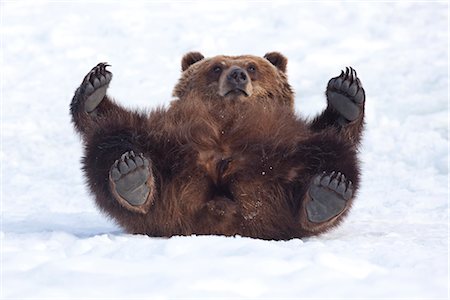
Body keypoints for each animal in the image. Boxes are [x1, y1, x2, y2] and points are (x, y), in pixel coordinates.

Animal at [70, 51, 366, 239]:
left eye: (252, 67)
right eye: (216, 67)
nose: (237, 75)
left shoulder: (287, 131)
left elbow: (333, 130)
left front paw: (346, 94)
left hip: (281, 155)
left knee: (330, 154)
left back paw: (326, 193)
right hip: (165, 146)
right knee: (114, 140)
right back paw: (130, 174)